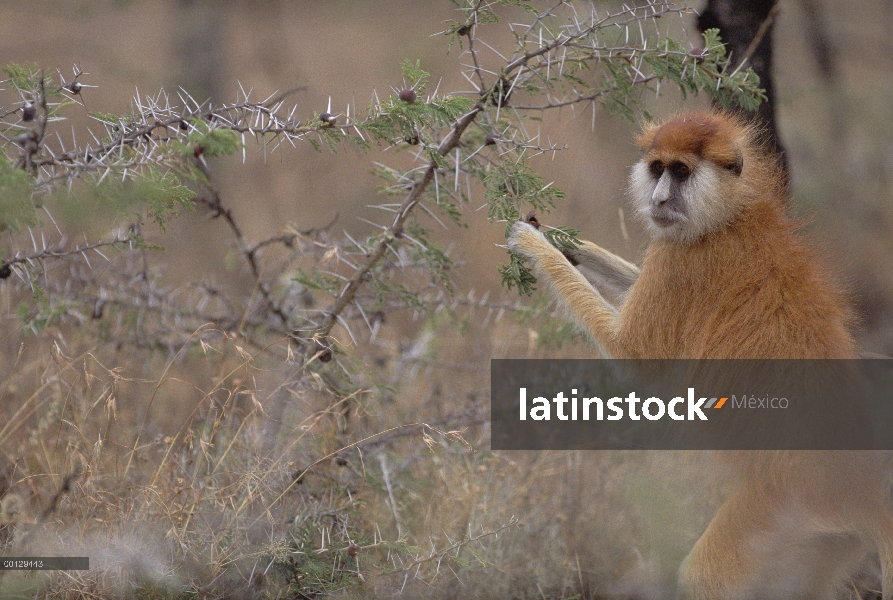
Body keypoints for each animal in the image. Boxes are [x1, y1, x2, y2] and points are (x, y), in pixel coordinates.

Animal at [508, 112, 892, 600]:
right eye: (657, 167)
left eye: (681, 172)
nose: (658, 198)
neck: (728, 213)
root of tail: (858, 489)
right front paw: (563, 241)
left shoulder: (679, 260)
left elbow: (634, 353)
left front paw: (533, 245)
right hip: (822, 543)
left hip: (780, 514)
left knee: (704, 578)